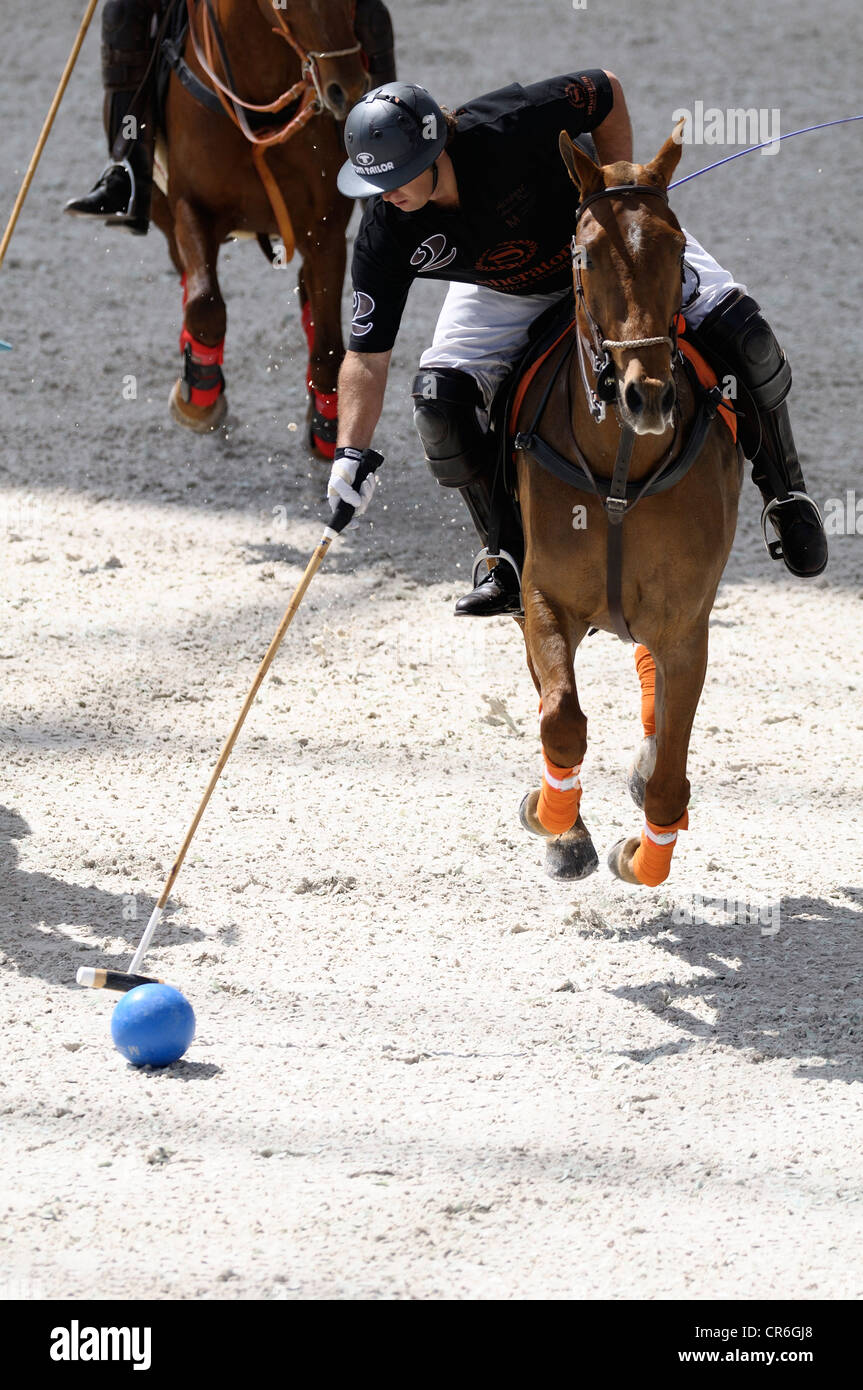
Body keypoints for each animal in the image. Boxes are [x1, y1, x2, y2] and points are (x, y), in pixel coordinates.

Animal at [152, 0, 369, 450]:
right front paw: (198, 399)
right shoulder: (188, 203)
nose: (349, 88)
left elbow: (328, 342)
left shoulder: (325, 228)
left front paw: (329, 425)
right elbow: (205, 303)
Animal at [511, 132, 739, 889]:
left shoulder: (685, 627)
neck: (620, 470)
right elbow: (561, 717)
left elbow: (669, 774)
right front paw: (554, 822)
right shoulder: (543, 595)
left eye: (676, 244)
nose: (648, 396)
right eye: (584, 254)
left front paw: (643, 853)